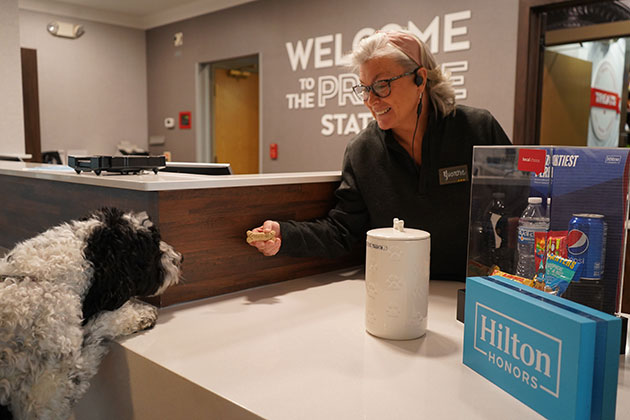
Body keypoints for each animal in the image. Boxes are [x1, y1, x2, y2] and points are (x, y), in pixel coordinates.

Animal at [0, 208, 183, 418]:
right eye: (152, 248)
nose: (181, 258)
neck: (45, 280)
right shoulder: (44, 402)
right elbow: (97, 331)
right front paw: (138, 315)